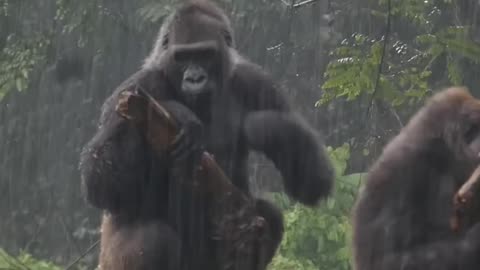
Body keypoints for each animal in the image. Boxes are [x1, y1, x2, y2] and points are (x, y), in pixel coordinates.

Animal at [79, 1, 334, 268]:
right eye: (183, 57)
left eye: (205, 54)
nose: (195, 78)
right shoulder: (135, 87)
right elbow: (102, 182)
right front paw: (178, 112)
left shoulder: (259, 83)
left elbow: (313, 182)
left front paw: (263, 125)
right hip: (109, 259)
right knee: (154, 238)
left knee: (268, 215)